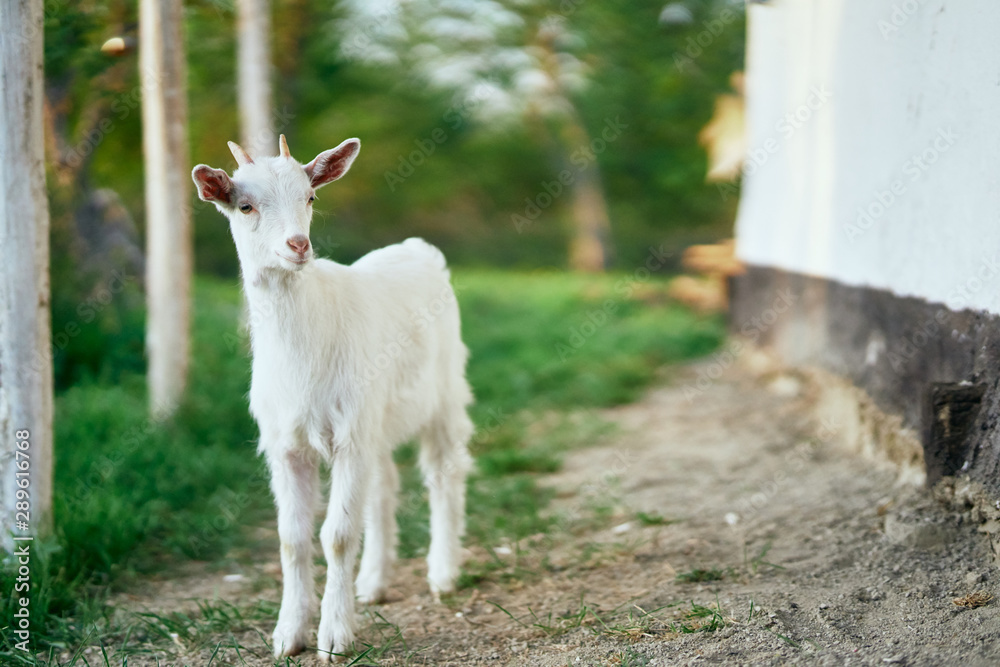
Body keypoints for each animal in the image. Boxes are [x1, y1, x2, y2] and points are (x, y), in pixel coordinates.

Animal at [191, 135, 474, 661]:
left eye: (310, 197)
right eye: (244, 205)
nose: (297, 246)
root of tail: (416, 247)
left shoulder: (349, 436)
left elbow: (338, 536)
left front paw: (335, 638)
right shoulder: (286, 443)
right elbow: (292, 538)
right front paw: (288, 634)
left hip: (443, 392)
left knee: (444, 472)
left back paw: (443, 573)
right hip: (376, 417)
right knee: (383, 485)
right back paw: (374, 582)